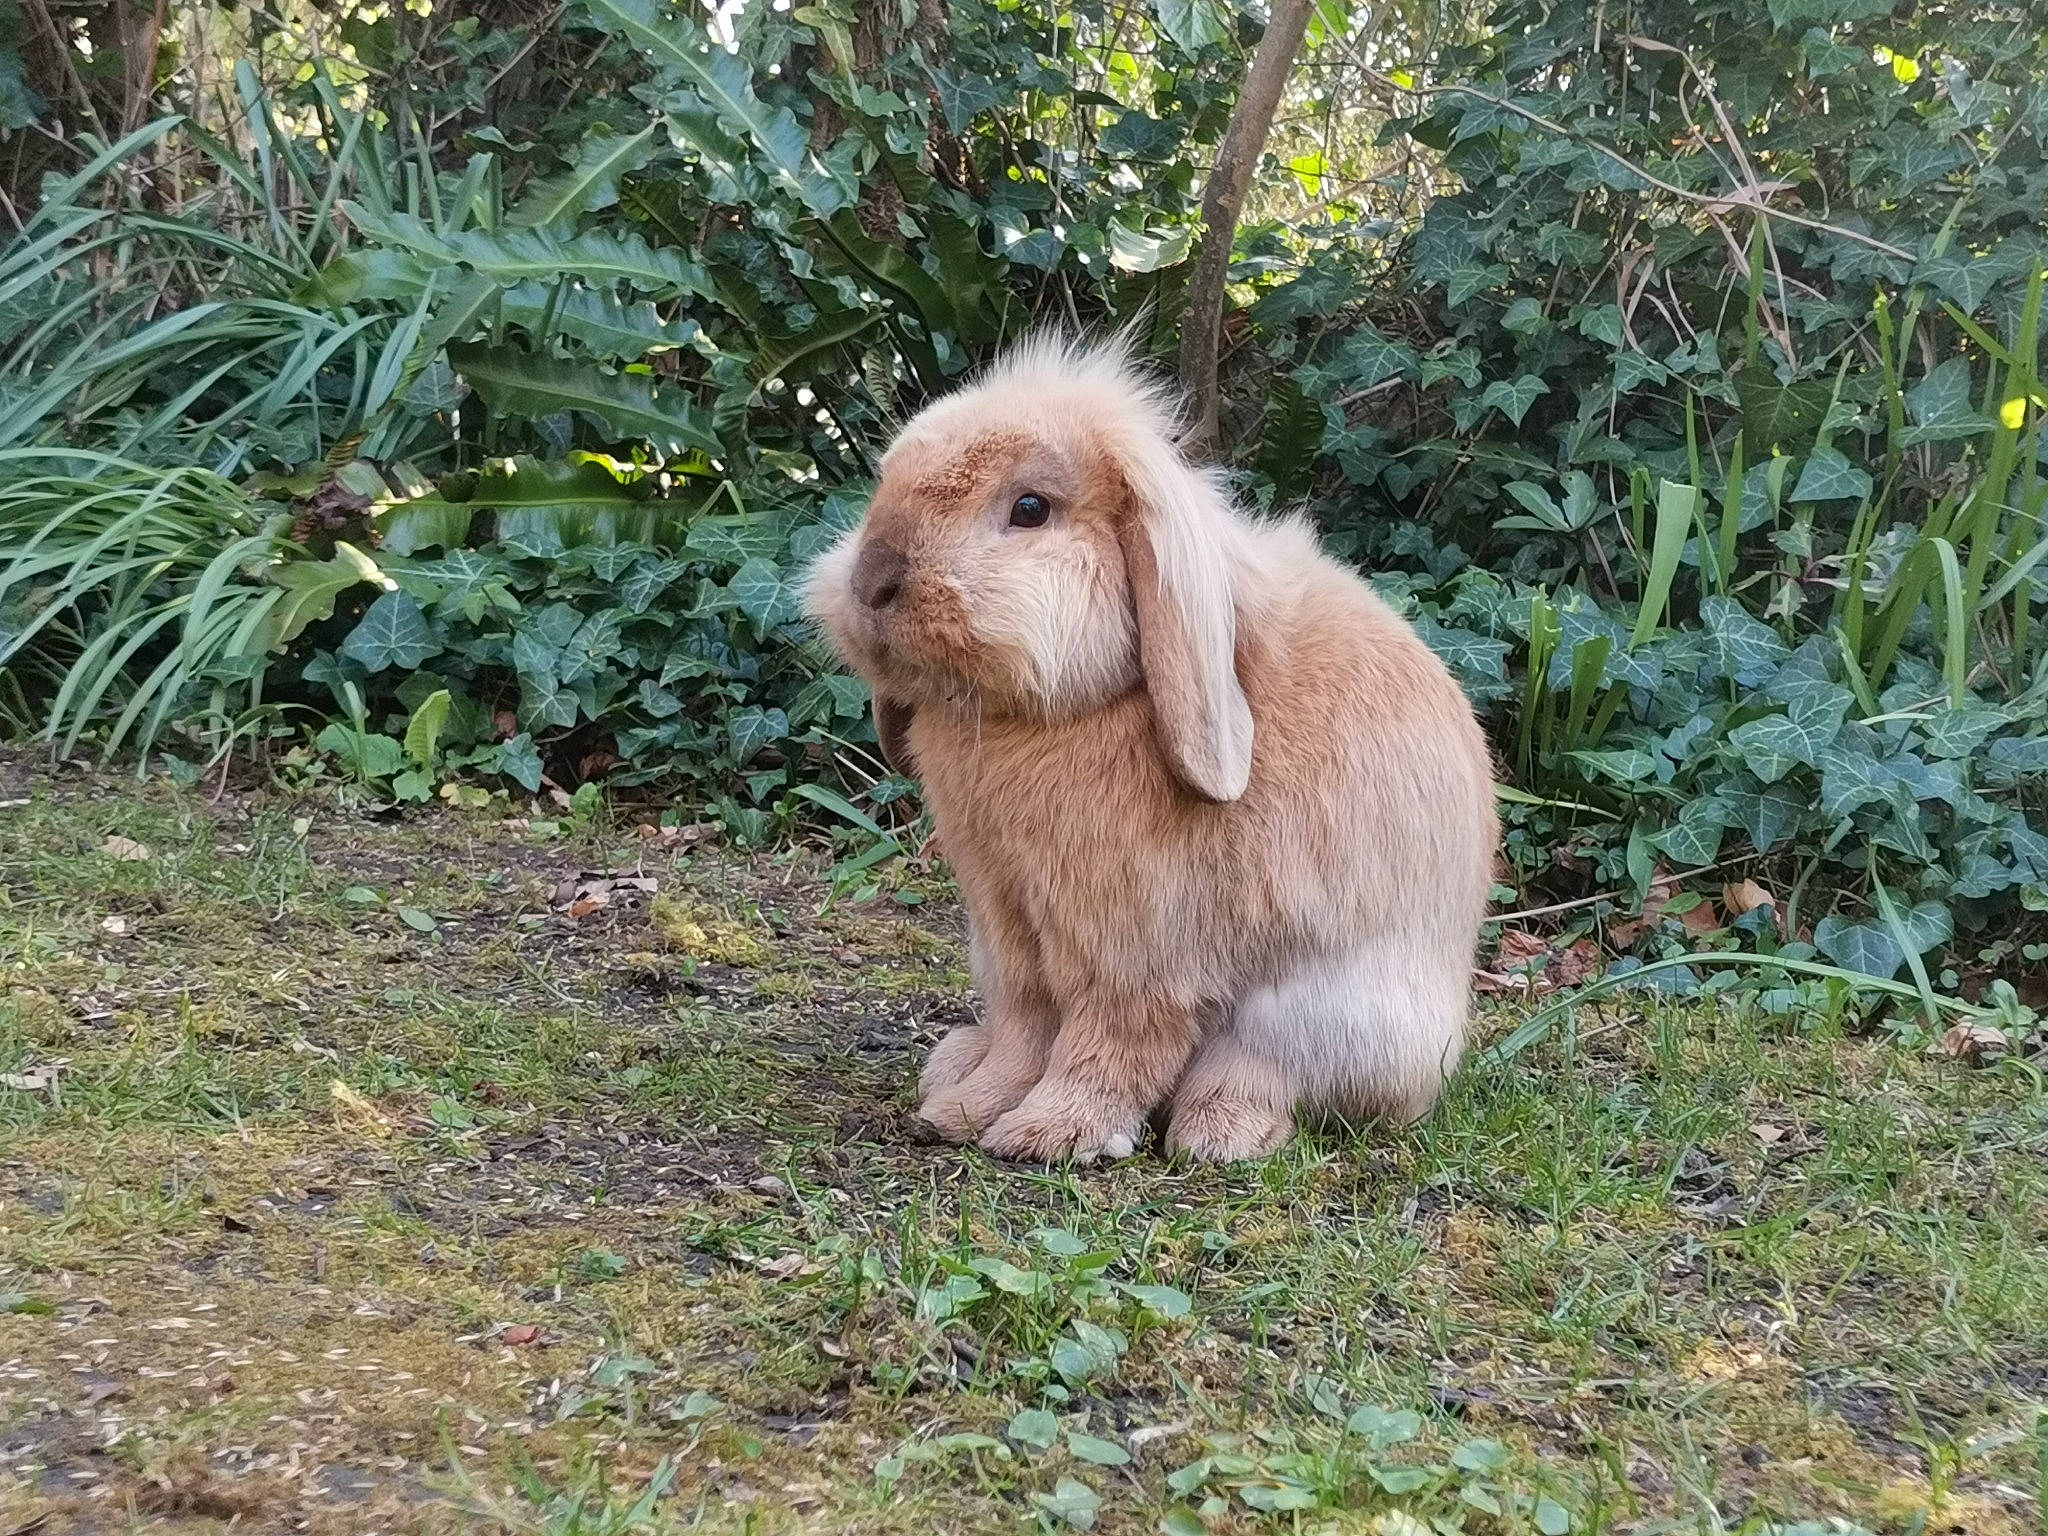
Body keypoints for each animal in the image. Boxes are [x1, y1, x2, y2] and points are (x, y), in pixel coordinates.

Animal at [803, 335, 1498, 1164]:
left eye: (1030, 508)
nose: (872, 578)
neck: (1055, 713)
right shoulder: (1008, 927)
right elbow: (1023, 1030)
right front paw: (965, 1113)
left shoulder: (1135, 952)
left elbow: (1110, 1045)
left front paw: (1047, 1134)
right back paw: (952, 1064)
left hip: (1321, 1016)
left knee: (1265, 1076)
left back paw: (1219, 1133)